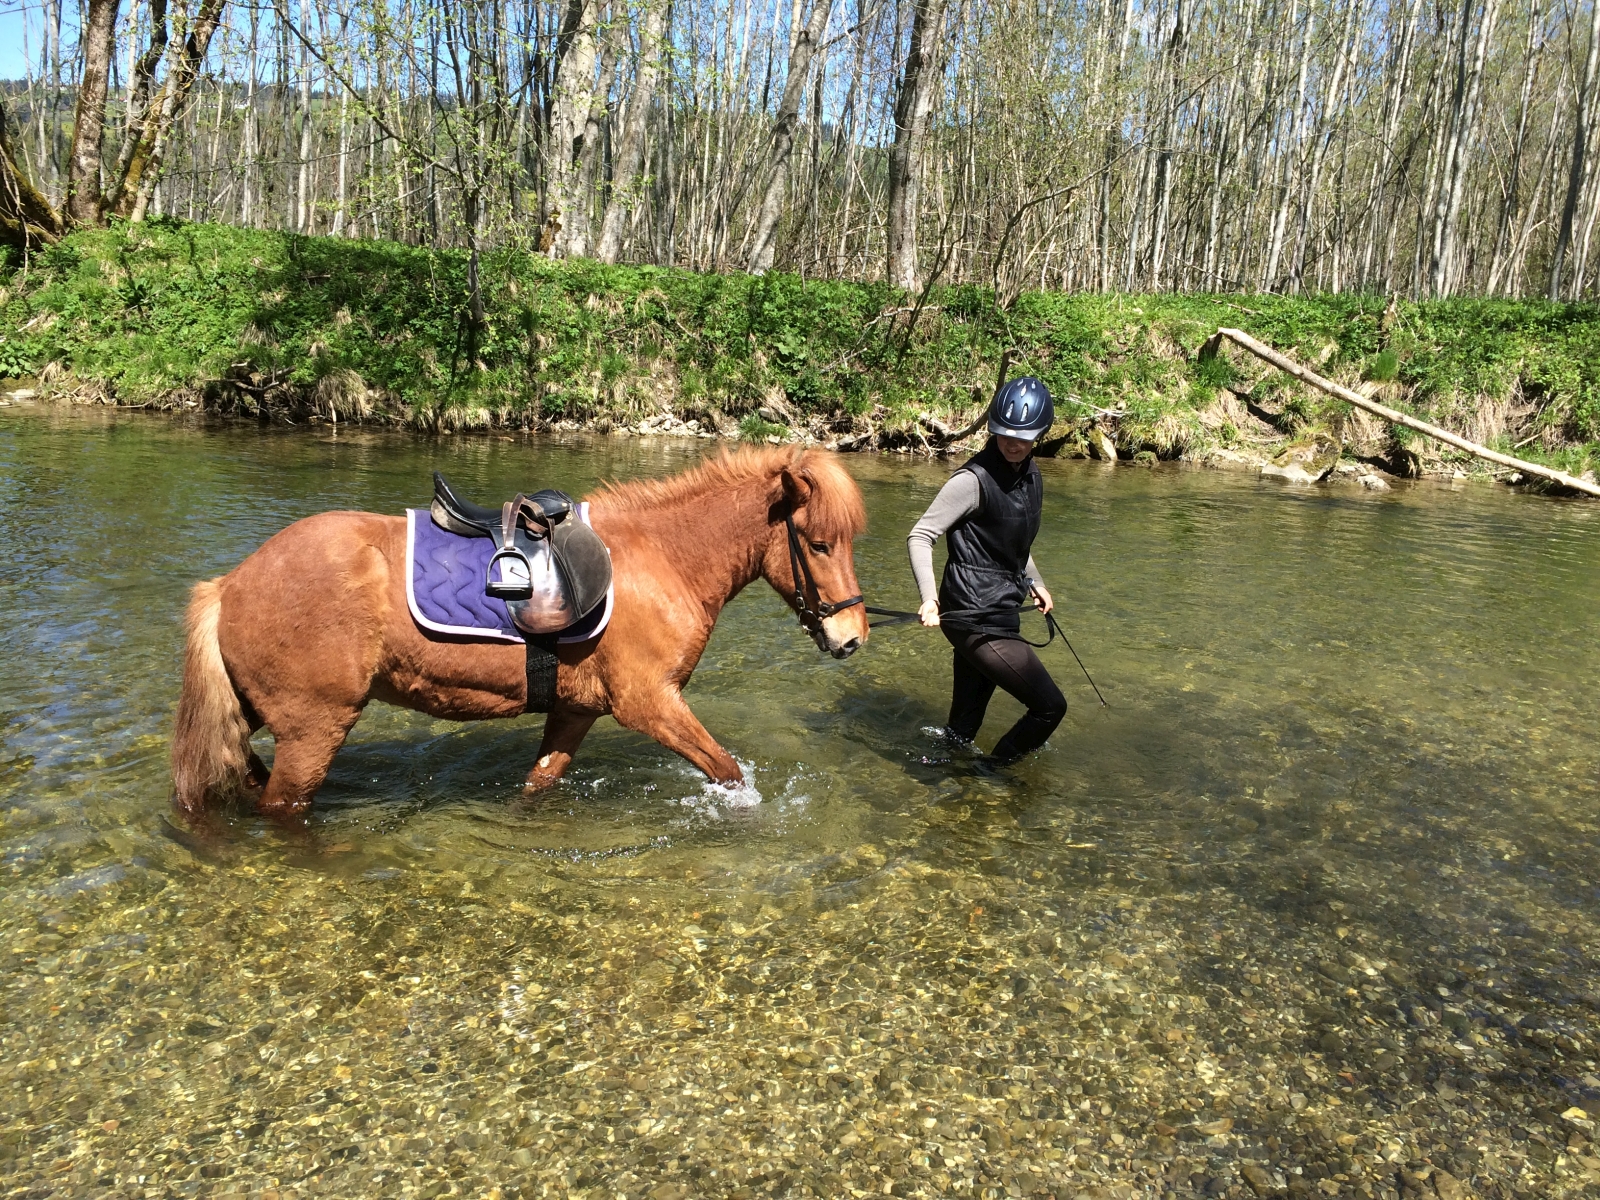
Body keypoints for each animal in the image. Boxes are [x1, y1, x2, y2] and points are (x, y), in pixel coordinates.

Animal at [170, 448, 870, 825]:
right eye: (819, 544)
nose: (853, 636)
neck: (661, 560)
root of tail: (231, 584)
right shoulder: (651, 705)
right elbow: (728, 773)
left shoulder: (576, 710)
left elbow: (537, 784)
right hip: (314, 731)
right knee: (279, 806)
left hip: (254, 717)